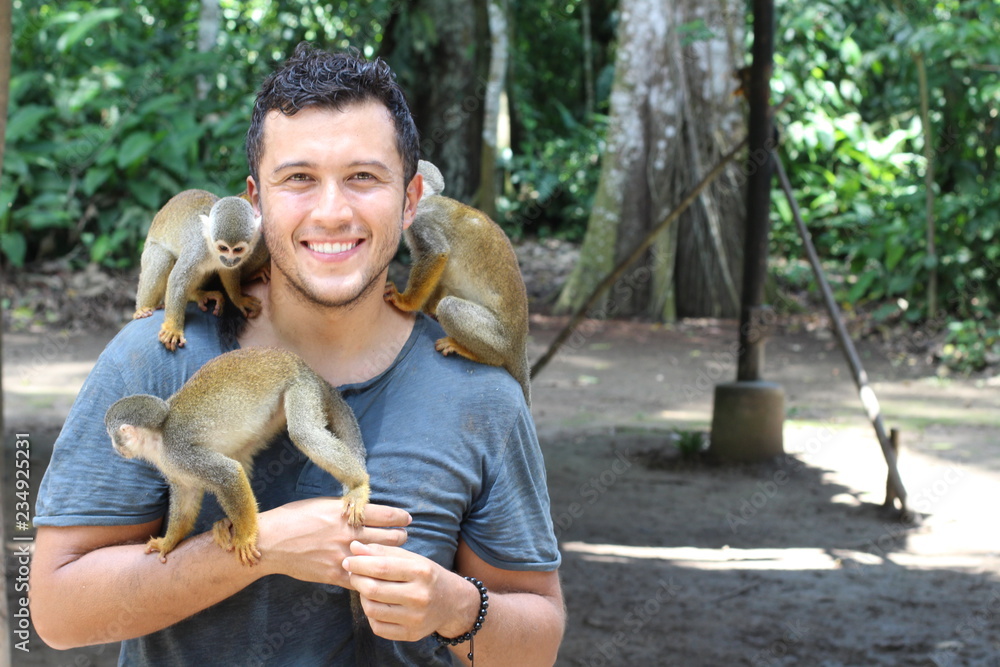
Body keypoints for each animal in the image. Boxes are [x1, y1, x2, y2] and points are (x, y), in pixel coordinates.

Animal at [103, 348, 370, 568]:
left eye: (111, 434)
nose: (114, 447)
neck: (157, 438)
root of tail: (298, 361)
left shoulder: (179, 451)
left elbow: (228, 473)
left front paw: (246, 536)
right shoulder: (173, 466)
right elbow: (187, 495)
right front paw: (169, 541)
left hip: (301, 387)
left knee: (304, 433)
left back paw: (359, 484)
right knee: (242, 452)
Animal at [137, 190, 272, 352]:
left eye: (238, 249)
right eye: (223, 248)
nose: (229, 260)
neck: (212, 251)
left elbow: (228, 272)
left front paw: (238, 298)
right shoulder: (197, 249)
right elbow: (178, 279)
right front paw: (173, 328)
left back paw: (195, 294)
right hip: (148, 251)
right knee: (163, 257)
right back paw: (143, 309)